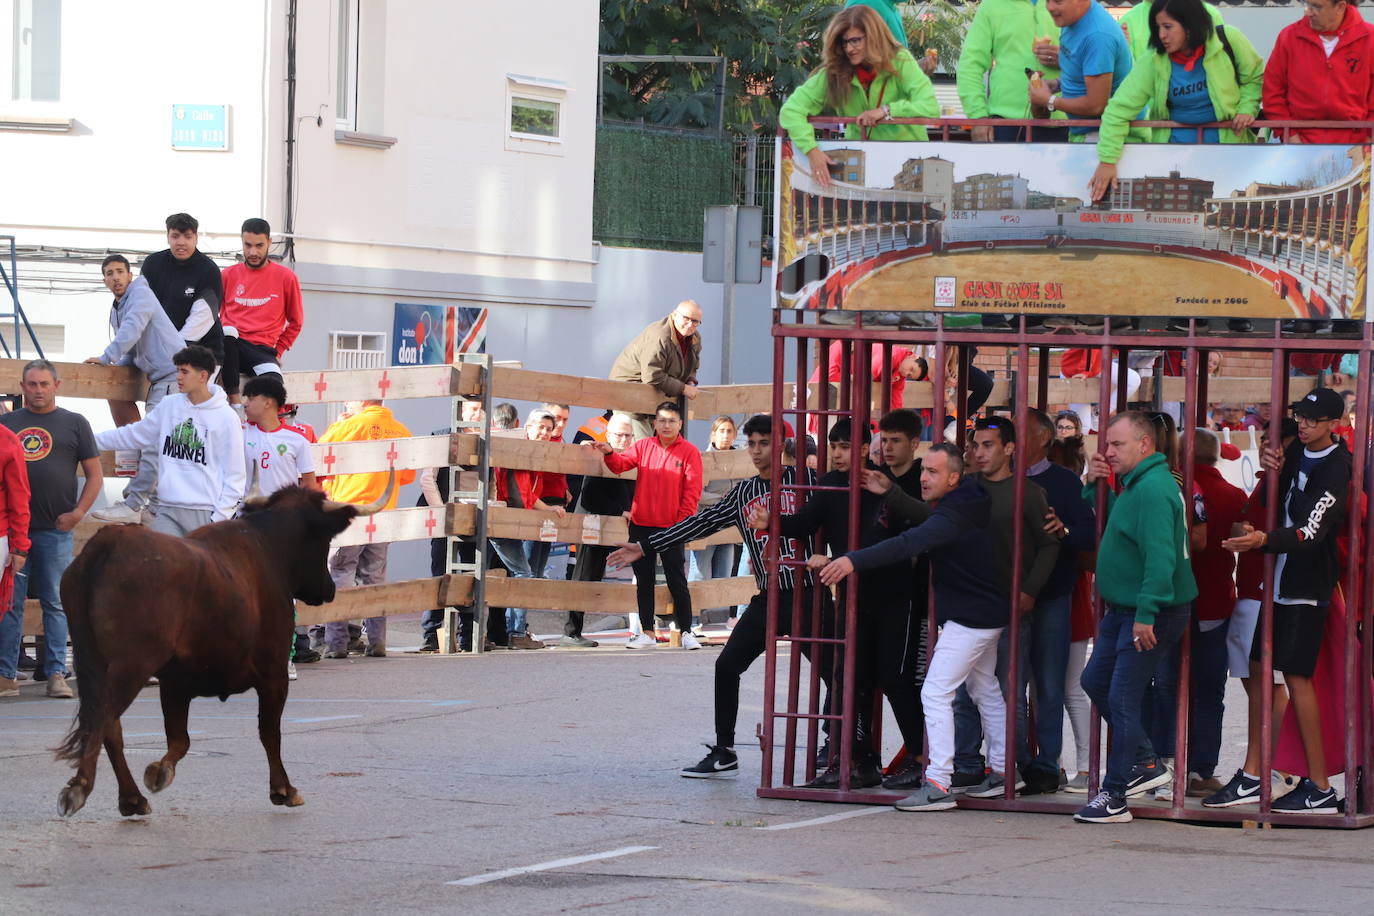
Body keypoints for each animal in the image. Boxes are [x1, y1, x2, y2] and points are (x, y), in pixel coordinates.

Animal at [53, 483, 387, 818]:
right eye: (324, 540)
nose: (329, 589)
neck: (268, 549)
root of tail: (107, 544)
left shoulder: (175, 682)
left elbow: (180, 740)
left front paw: (160, 771)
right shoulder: (274, 673)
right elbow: (269, 732)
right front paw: (283, 789)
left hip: (93, 661)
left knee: (110, 727)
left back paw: (132, 798)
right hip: (130, 665)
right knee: (104, 718)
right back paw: (81, 788)